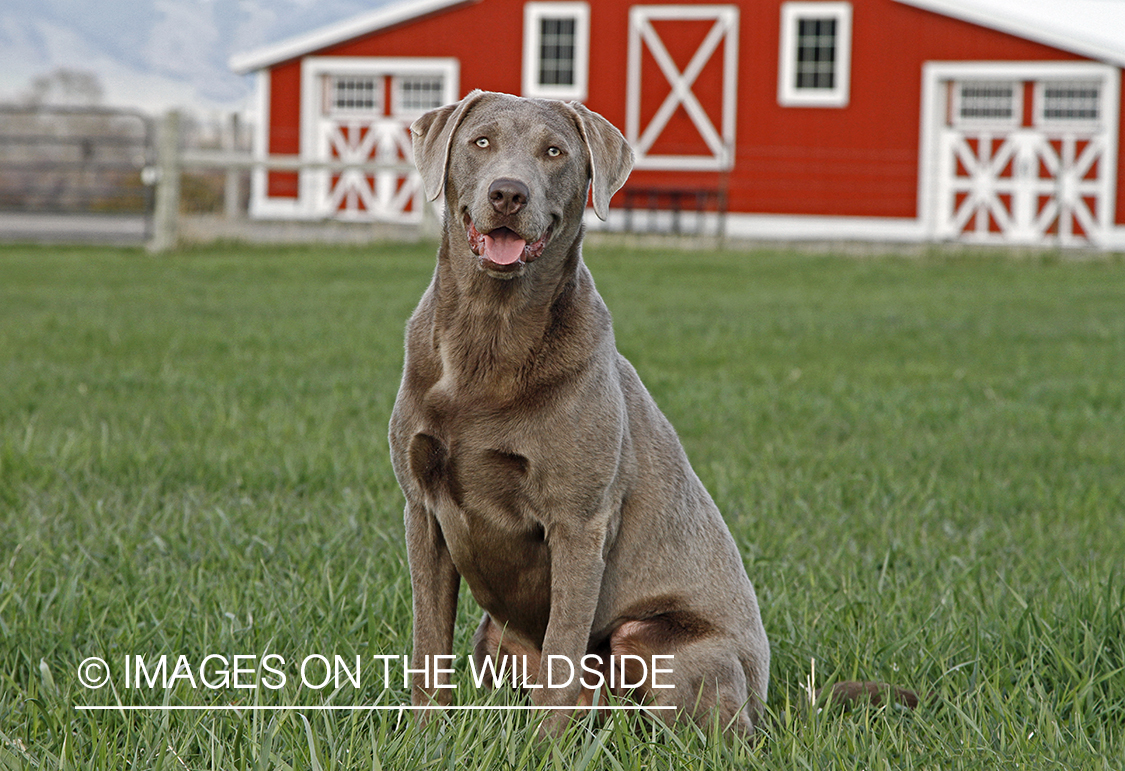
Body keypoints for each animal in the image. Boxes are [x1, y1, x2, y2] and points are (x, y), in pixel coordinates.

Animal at [389, 90, 774, 733]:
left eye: (554, 152)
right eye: (481, 141)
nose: (508, 193)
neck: (489, 336)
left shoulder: (577, 522)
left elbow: (563, 653)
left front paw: (541, 746)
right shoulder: (423, 510)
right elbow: (428, 642)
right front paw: (425, 736)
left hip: (658, 642)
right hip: (492, 638)